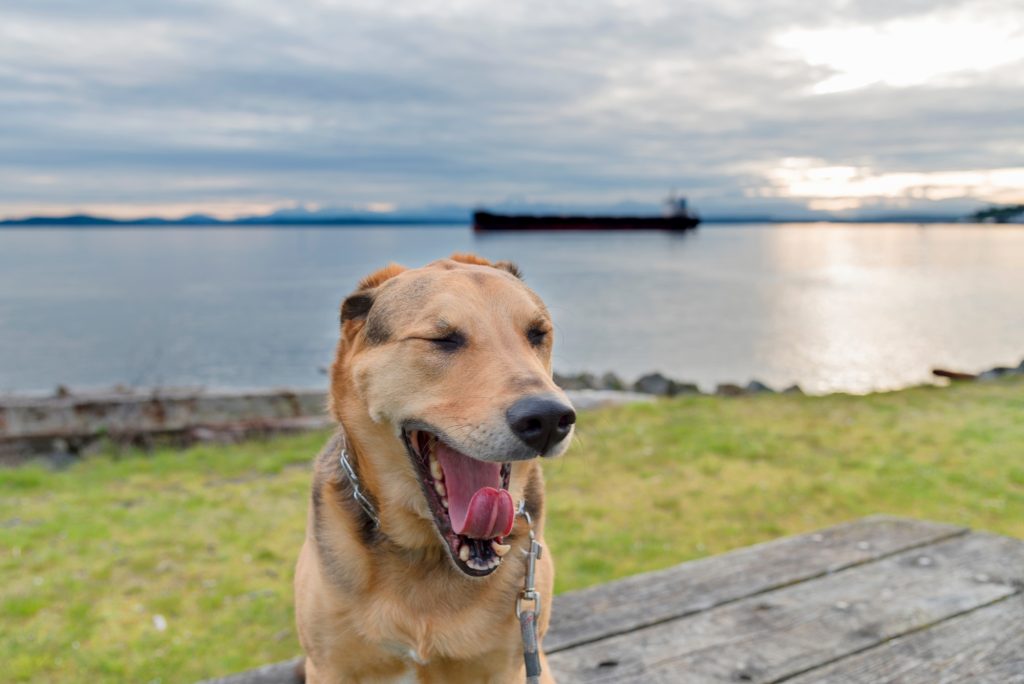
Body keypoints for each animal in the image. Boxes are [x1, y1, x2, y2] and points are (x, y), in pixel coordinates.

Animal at [294, 253, 577, 679]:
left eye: (537, 334)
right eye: (441, 340)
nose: (548, 419)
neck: (427, 551)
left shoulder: (509, 666)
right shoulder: (329, 667)